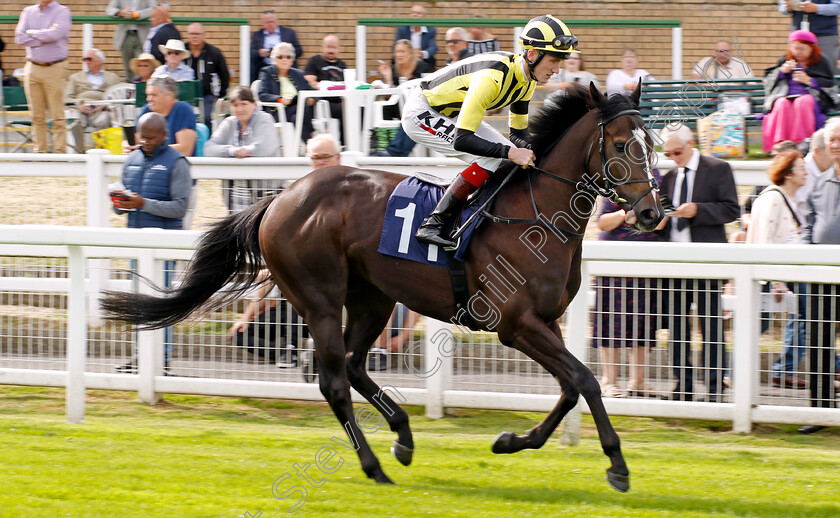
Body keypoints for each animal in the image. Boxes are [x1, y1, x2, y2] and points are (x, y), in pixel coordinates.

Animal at [100, 82, 664, 496]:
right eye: (620, 145)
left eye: (652, 145)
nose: (651, 213)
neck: (536, 212)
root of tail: (281, 197)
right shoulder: (516, 325)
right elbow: (586, 381)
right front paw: (617, 466)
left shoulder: (543, 322)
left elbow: (570, 388)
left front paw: (509, 440)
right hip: (320, 297)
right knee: (332, 380)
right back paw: (375, 464)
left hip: (373, 298)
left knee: (352, 366)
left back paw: (404, 438)